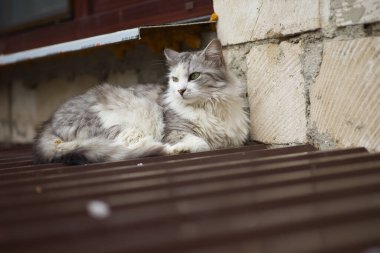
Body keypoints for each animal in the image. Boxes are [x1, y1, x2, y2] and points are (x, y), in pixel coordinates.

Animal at [33, 38, 249, 164]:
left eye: (194, 76)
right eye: (175, 79)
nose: (180, 91)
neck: (210, 104)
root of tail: (49, 122)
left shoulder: (233, 139)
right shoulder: (173, 131)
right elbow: (202, 143)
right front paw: (187, 146)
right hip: (130, 119)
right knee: (130, 146)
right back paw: (170, 150)